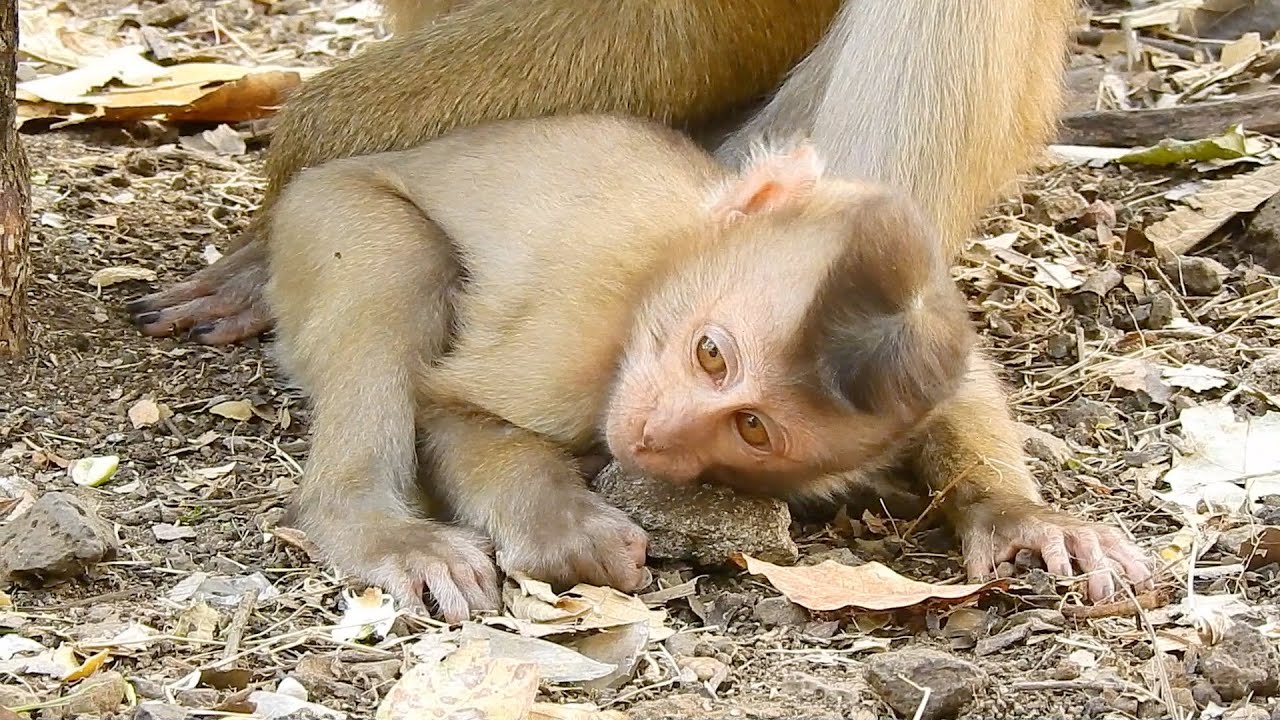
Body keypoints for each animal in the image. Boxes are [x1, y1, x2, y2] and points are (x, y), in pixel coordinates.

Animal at [264, 113, 986, 620]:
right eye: (711, 354)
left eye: (752, 428)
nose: (656, 435)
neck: (666, 263)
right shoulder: (576, 325)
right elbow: (453, 405)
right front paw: (566, 530)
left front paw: (999, 514)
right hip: (320, 217)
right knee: (401, 263)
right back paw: (368, 524)